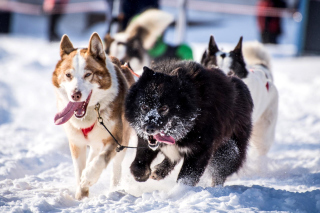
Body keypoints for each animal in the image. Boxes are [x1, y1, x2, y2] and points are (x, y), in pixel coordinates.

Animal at [52, 32, 134, 200]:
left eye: (88, 74)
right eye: (68, 75)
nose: (75, 95)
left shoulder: (114, 138)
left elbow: (101, 160)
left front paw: (89, 177)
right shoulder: (77, 142)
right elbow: (79, 169)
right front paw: (81, 194)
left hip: (122, 141)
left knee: (116, 165)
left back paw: (114, 188)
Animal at [124, 60, 252, 186]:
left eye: (164, 108)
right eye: (144, 106)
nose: (149, 128)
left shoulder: (200, 150)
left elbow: (186, 177)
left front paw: (181, 190)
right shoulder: (146, 141)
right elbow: (139, 163)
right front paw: (142, 174)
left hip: (229, 151)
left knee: (220, 173)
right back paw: (160, 171)